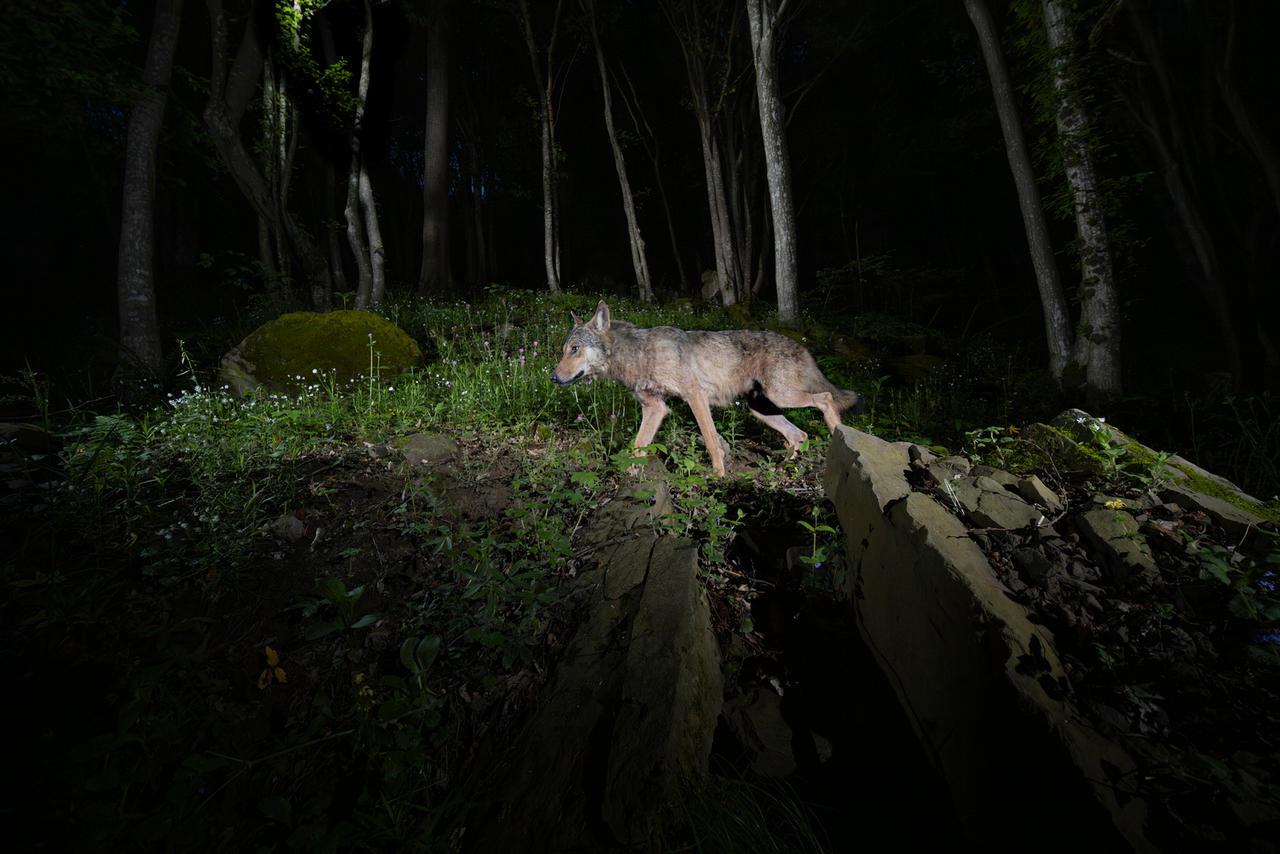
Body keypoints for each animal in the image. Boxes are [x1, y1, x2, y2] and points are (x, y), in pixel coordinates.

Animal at [545, 302, 865, 478]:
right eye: (563, 350)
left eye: (575, 349)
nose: (553, 378)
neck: (638, 354)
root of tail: (803, 347)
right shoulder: (654, 408)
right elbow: (636, 448)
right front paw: (626, 479)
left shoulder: (695, 396)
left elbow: (711, 441)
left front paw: (718, 476)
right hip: (761, 409)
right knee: (799, 435)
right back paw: (784, 468)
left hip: (782, 397)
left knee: (825, 399)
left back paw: (838, 437)